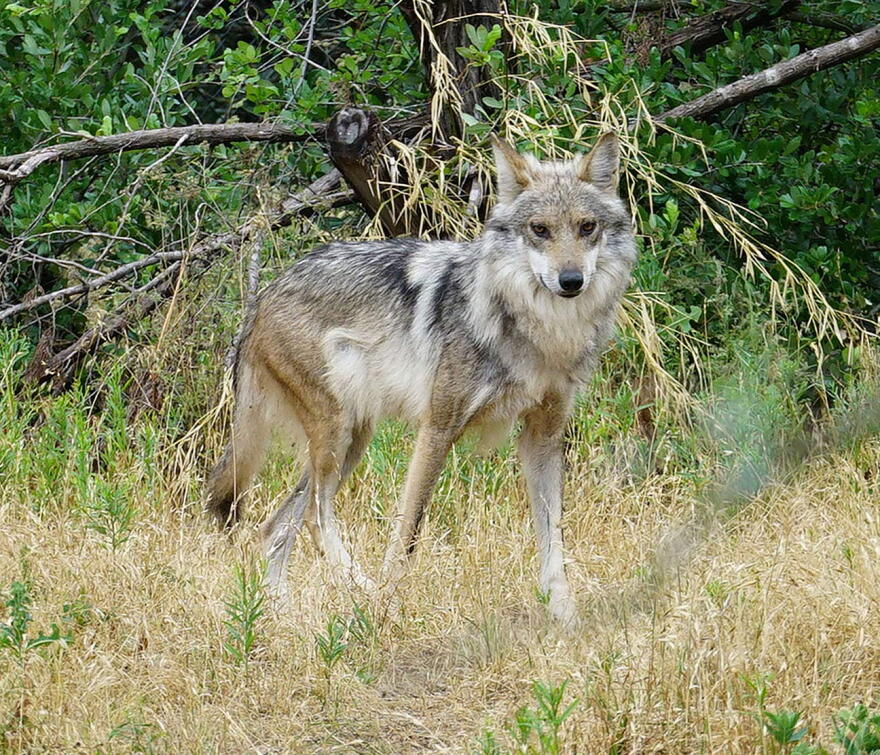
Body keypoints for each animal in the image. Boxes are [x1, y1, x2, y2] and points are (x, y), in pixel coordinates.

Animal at [206, 131, 637, 625]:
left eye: (586, 227)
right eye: (540, 229)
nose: (570, 281)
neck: (540, 330)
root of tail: (264, 295)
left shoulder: (542, 437)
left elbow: (553, 538)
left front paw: (565, 616)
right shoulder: (438, 427)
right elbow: (408, 531)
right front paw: (389, 606)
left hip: (351, 441)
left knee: (276, 525)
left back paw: (281, 616)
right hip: (337, 436)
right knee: (314, 517)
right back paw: (363, 593)